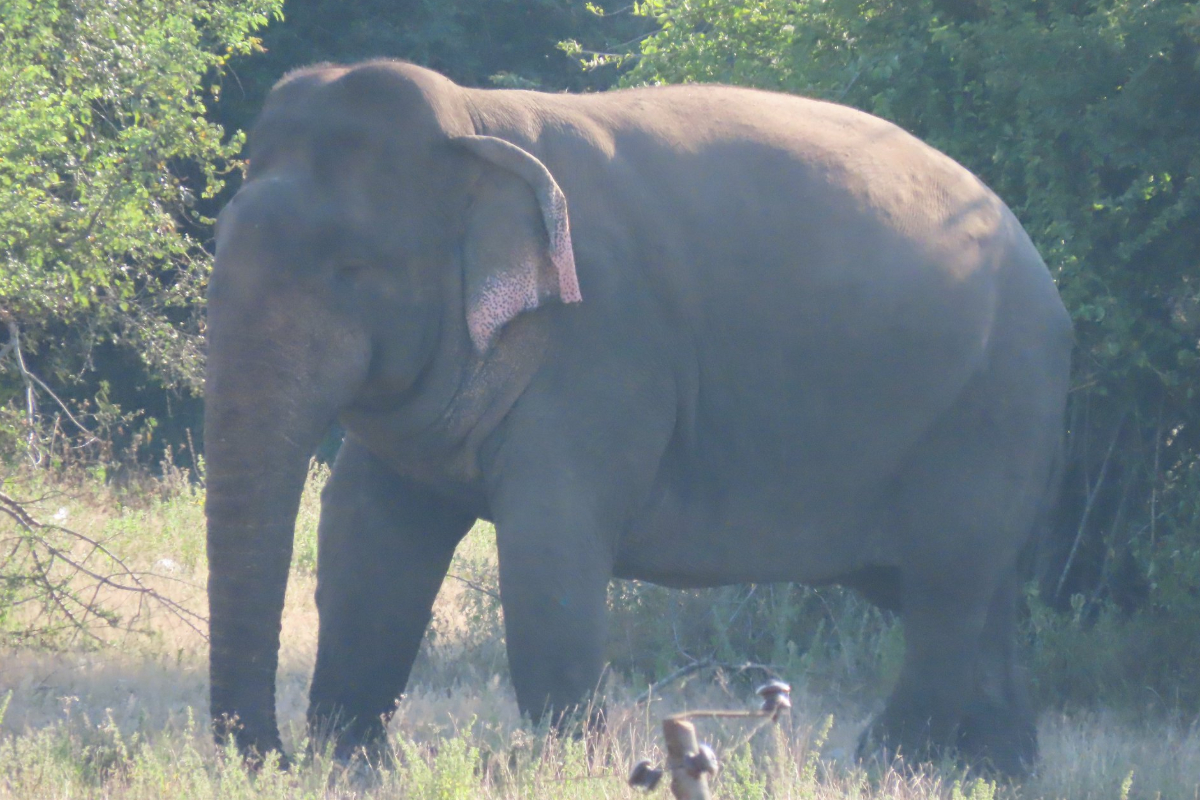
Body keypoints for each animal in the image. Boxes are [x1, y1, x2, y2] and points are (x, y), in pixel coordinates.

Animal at [205, 59, 1071, 776]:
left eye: (353, 269)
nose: (263, 752)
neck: (476, 123)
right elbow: (368, 536)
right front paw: (349, 763)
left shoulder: (603, 348)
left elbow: (550, 551)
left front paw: (573, 767)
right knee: (971, 594)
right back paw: (992, 771)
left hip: (993, 406)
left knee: (945, 589)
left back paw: (881, 765)